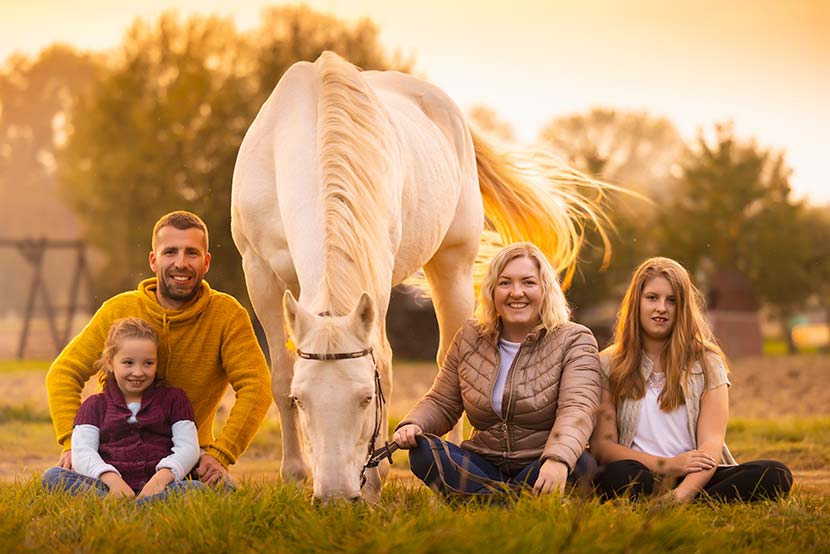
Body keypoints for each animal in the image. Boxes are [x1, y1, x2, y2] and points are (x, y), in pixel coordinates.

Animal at [231, 51, 608, 500]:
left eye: (365, 399)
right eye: (301, 400)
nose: (337, 495)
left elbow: (386, 364)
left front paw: (374, 481)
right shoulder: (258, 273)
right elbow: (280, 374)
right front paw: (293, 476)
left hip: (453, 266)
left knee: (450, 360)